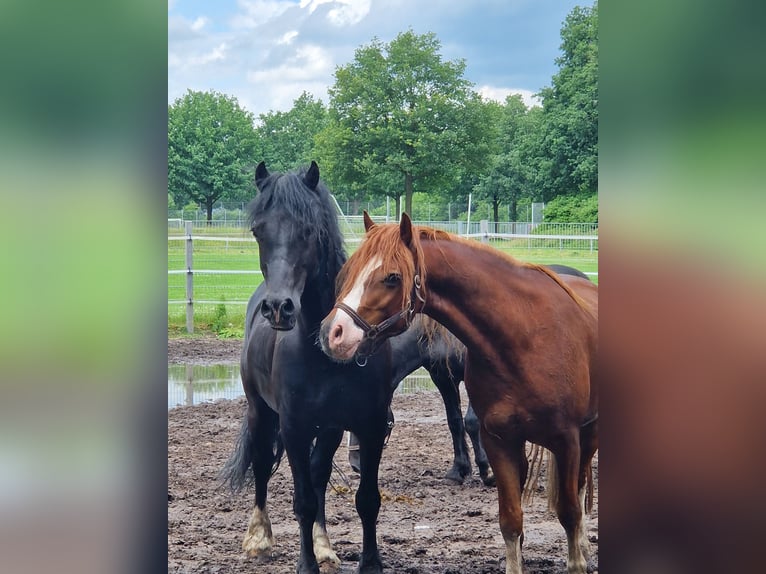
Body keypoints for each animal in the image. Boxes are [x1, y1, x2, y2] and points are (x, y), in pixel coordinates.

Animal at [219, 162, 392, 574]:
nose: (278, 308)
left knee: (318, 473)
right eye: (258, 230)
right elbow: (302, 501)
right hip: (260, 412)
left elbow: (366, 499)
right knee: (262, 464)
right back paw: (259, 538)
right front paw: (305, 564)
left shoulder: (370, 425)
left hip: (328, 429)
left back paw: (324, 545)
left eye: (310, 230)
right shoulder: (294, 426)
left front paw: (369, 563)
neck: (325, 350)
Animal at [320, 213, 600, 574]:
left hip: (589, 433)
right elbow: (510, 521)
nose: (333, 333)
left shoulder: (566, 440)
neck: (524, 337)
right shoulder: (498, 438)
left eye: (392, 277)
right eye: (349, 272)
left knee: (579, 490)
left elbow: (568, 511)